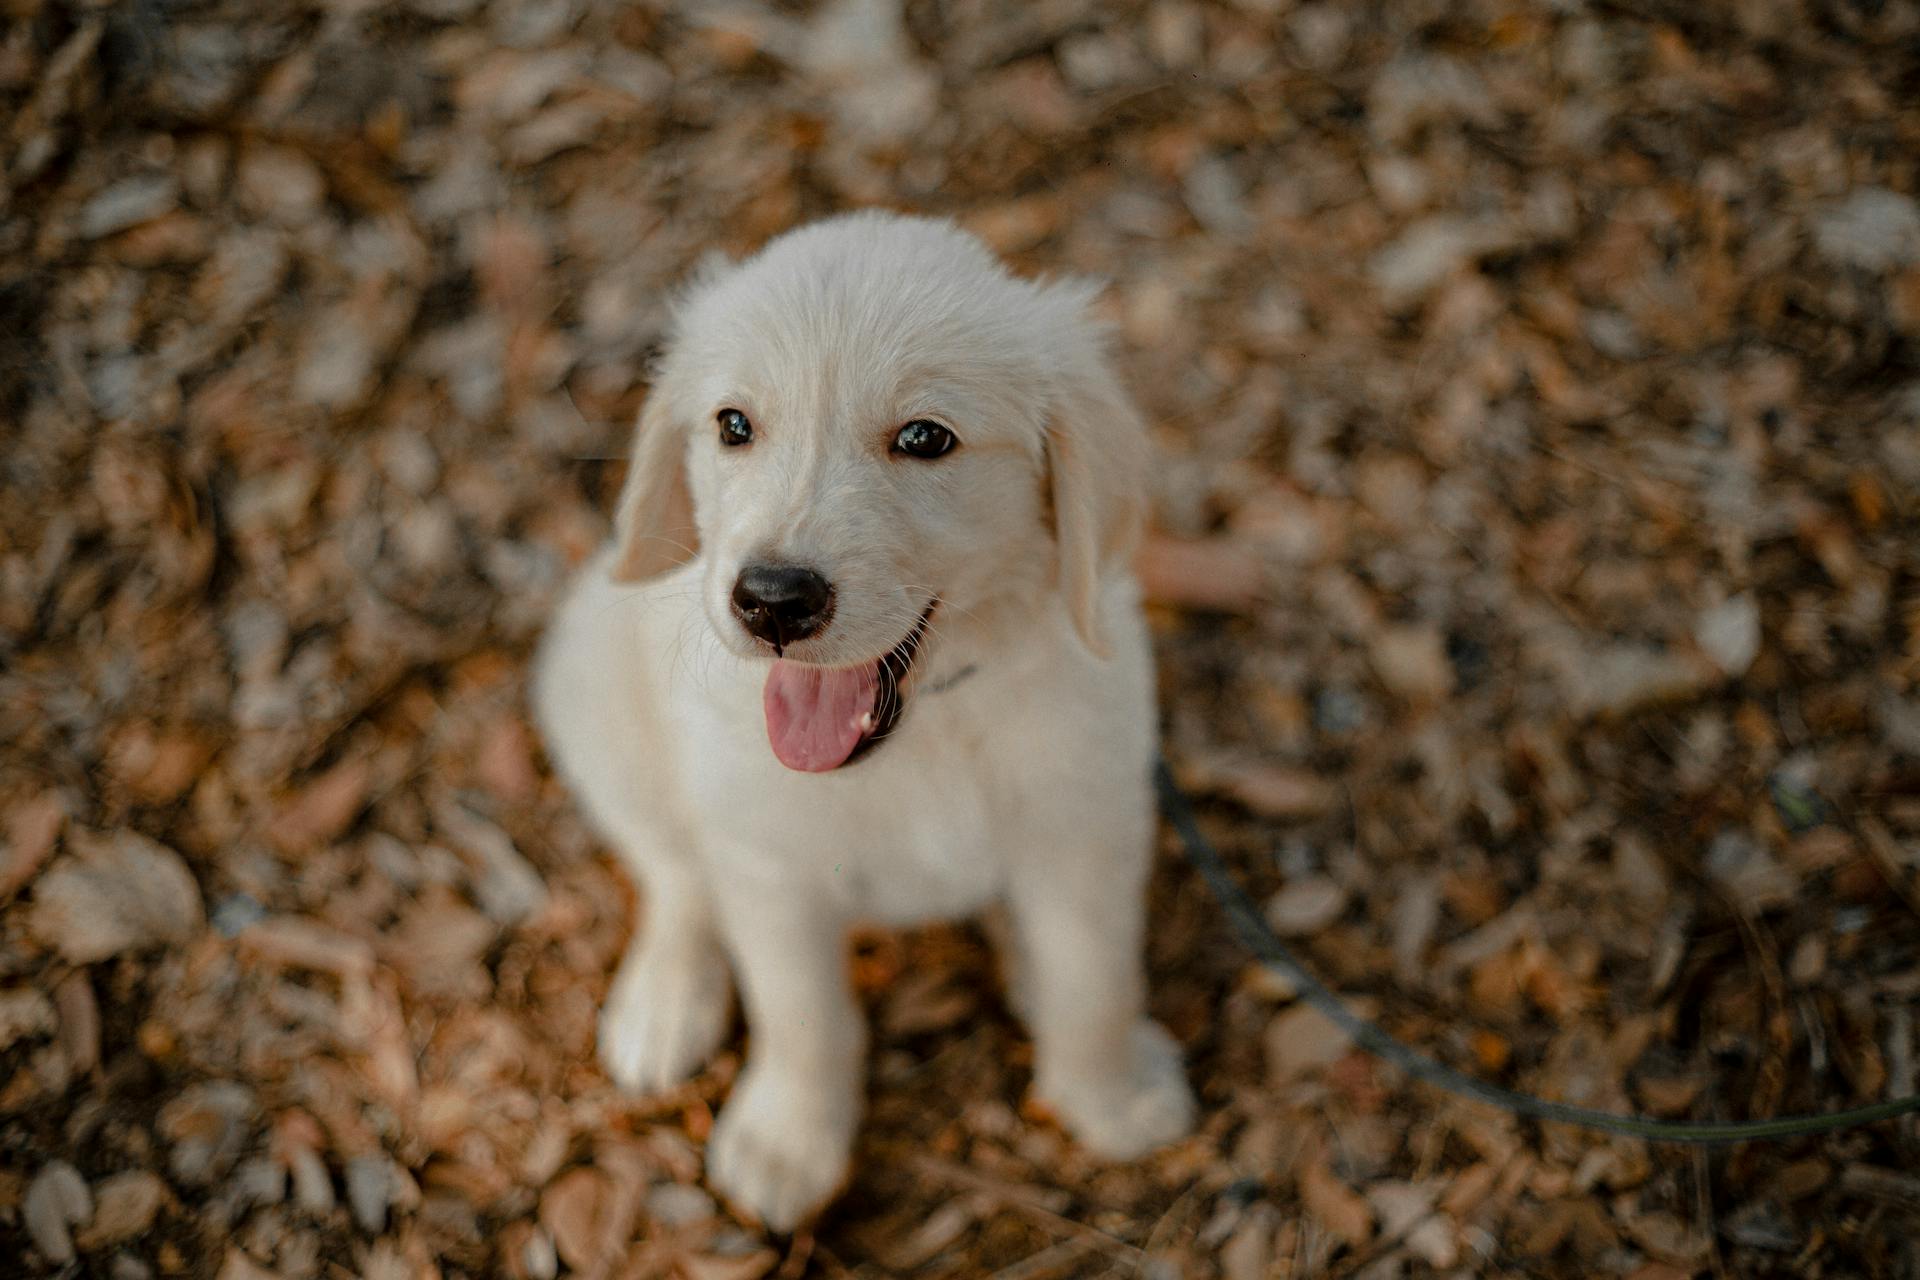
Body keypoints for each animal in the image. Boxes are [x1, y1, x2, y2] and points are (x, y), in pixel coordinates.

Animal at [533, 213, 1190, 1228]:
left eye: (924, 436)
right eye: (733, 425)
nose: (772, 600)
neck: (927, 731)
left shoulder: (1088, 825)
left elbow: (1094, 977)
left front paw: (1110, 1097)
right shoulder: (770, 867)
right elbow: (803, 1016)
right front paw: (787, 1142)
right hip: (594, 685)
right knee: (674, 869)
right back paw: (665, 999)